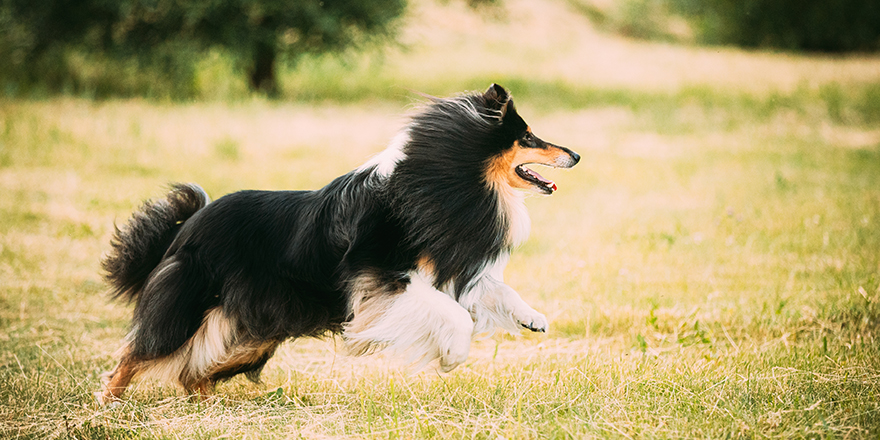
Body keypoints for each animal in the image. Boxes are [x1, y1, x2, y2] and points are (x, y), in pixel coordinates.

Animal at [96, 84, 580, 404]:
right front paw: (451, 358)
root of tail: (185, 227)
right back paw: (109, 404)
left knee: (192, 370)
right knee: (140, 353)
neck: (440, 177)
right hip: (192, 304)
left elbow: (495, 289)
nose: (576, 154)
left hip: (255, 331)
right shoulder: (384, 280)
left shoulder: (443, 270)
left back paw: (214, 403)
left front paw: (534, 318)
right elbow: (455, 316)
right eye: (528, 137)